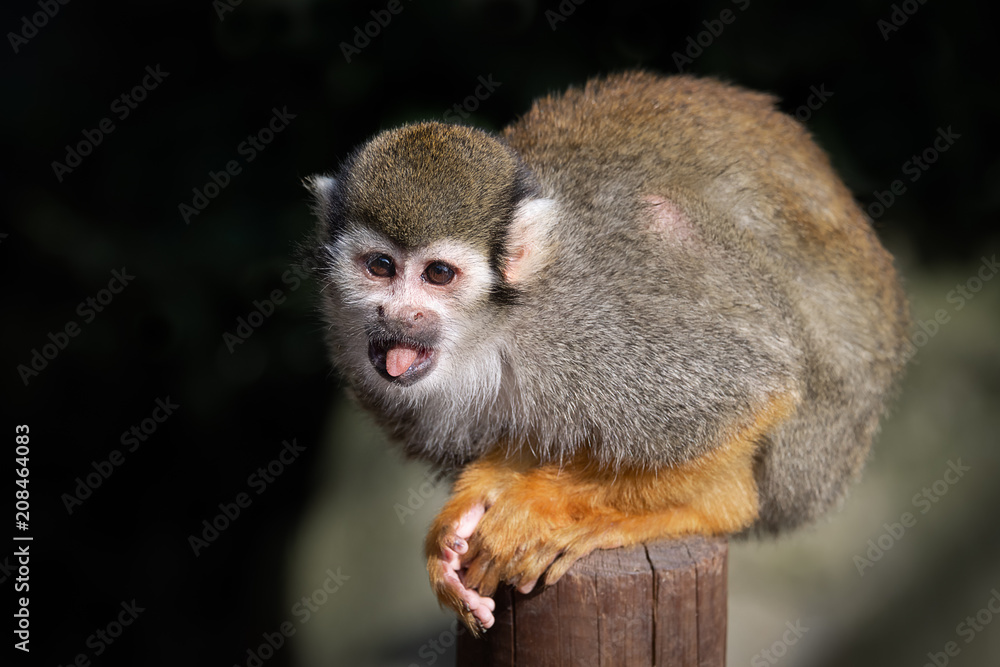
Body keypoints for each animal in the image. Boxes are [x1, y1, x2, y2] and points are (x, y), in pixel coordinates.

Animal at [306, 71, 910, 635]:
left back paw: (708, 504)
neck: (494, 330)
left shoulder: (596, 326)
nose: (398, 315)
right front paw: (477, 497)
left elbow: (751, 389)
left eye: (437, 275)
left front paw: (545, 505)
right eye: (380, 267)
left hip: (820, 440)